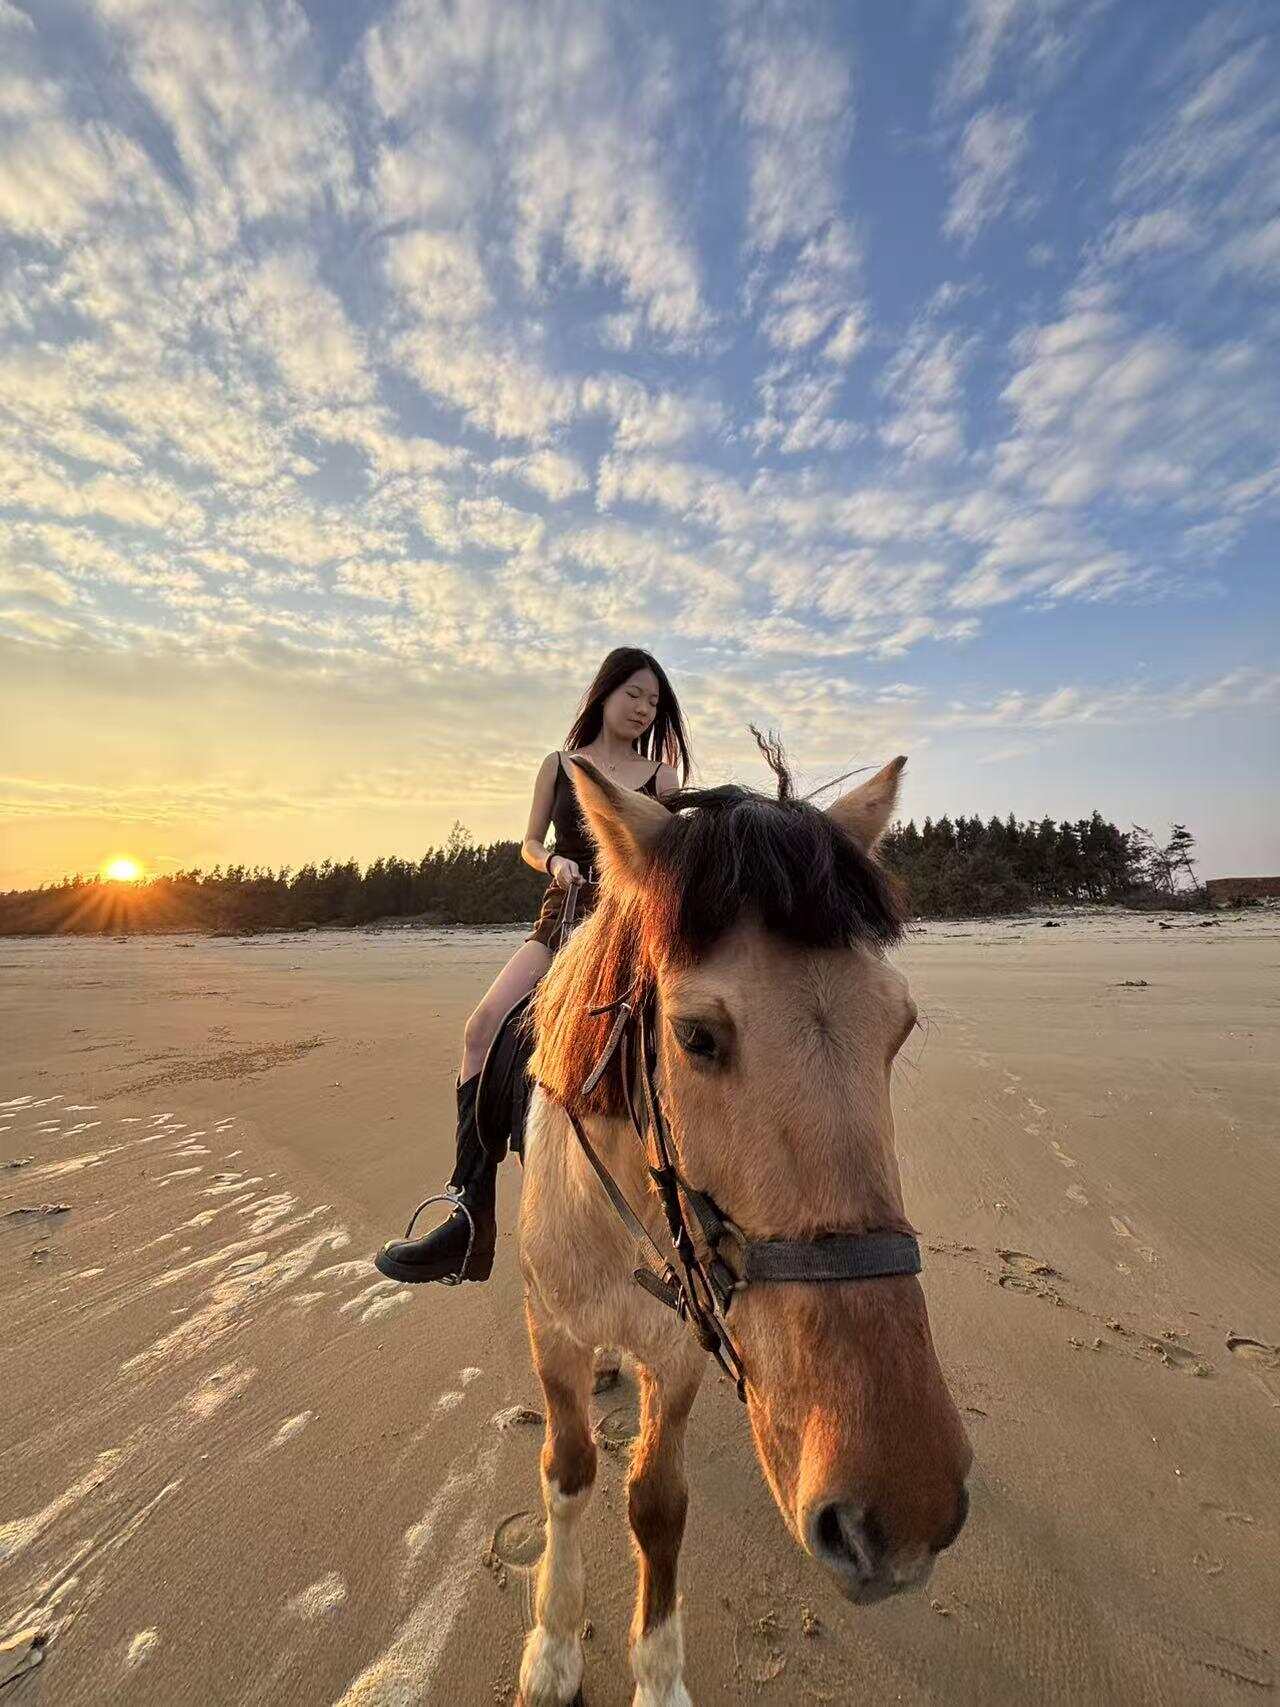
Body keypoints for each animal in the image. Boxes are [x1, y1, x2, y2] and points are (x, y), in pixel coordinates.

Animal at [516, 742, 972, 1706]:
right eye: (696, 1035)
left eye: (900, 1027)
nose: (902, 1513)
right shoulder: (551, 1333)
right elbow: (568, 1475)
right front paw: (553, 1647)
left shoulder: (683, 1352)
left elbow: (657, 1503)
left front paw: (658, 1676)